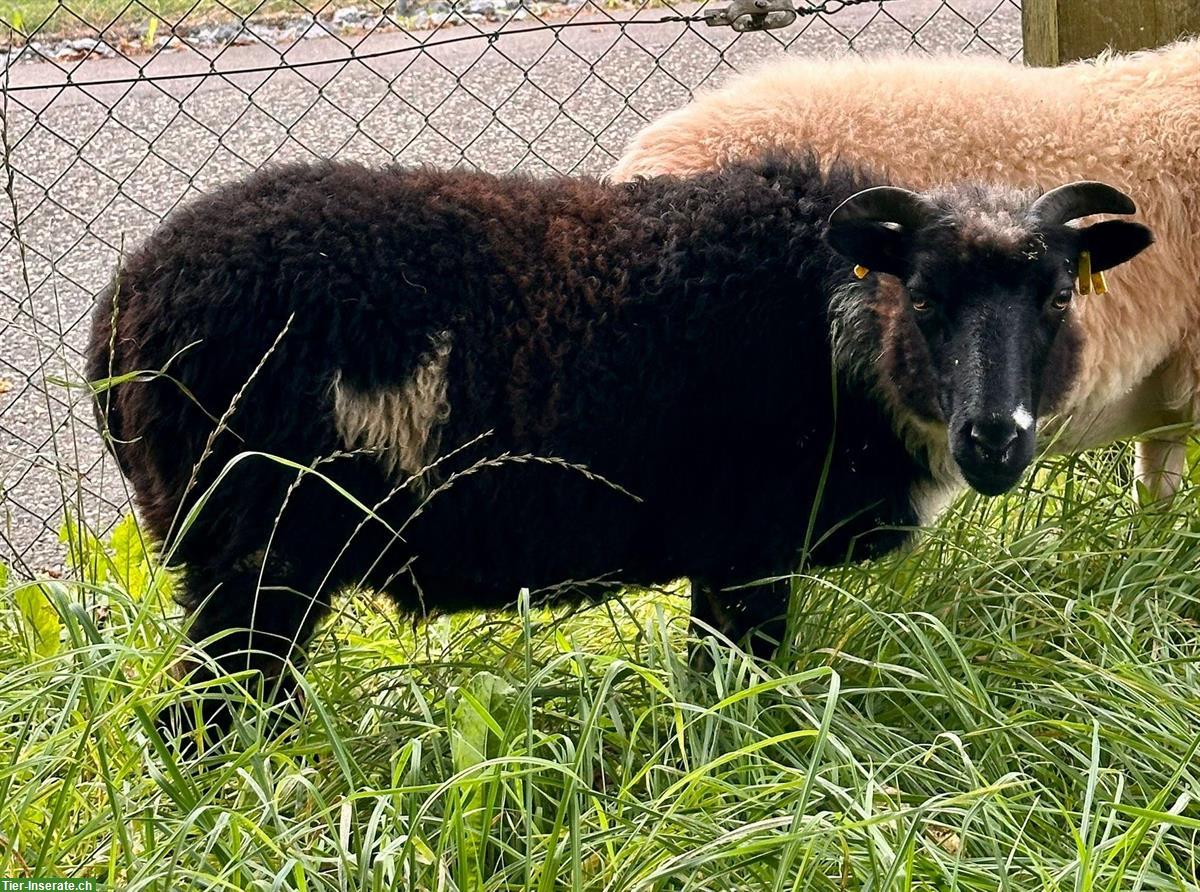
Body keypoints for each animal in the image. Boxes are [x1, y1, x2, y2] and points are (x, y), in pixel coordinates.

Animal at [87, 158, 1152, 734]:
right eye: (925, 298)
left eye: (1059, 296)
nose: (997, 440)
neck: (831, 330)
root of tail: (123, 305)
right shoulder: (748, 554)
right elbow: (731, 698)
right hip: (250, 554)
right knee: (206, 725)